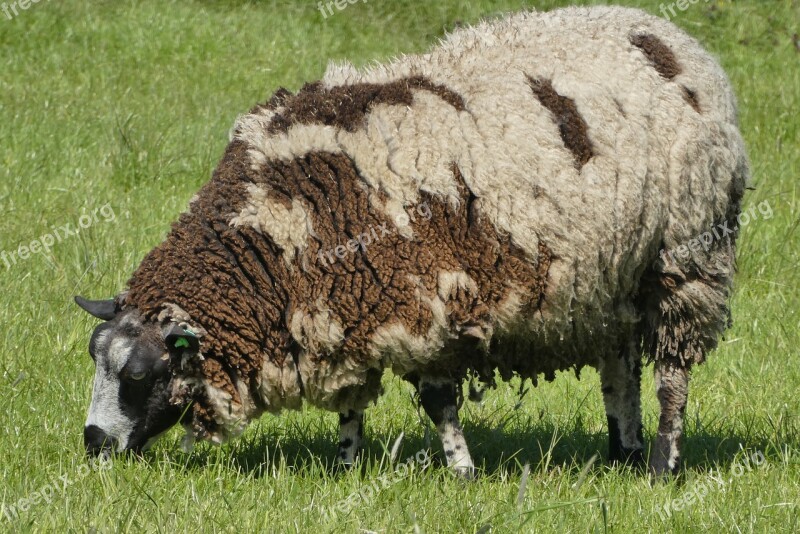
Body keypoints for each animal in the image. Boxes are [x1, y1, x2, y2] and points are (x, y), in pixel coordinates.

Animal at [76, 5, 752, 482]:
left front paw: (462, 472)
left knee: (671, 374)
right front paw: (347, 467)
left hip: (685, 255)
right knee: (622, 364)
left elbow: (437, 400)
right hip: (613, 273)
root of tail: (677, 41)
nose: (93, 443)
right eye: (95, 358)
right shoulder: (342, 309)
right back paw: (623, 450)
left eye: (139, 373)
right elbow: (351, 404)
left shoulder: (424, 305)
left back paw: (662, 464)